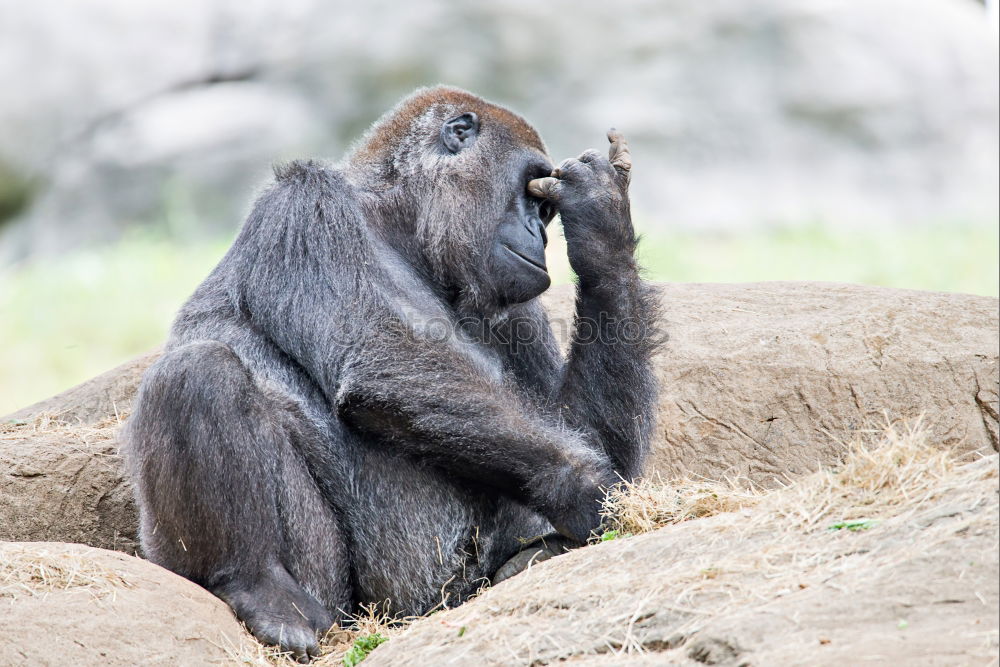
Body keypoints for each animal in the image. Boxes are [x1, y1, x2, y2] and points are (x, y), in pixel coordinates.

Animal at [123, 86, 656, 660]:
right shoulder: (306, 204)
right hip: (334, 603)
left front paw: (601, 231)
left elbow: (572, 425)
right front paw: (588, 490)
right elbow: (379, 356)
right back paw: (256, 584)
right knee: (197, 372)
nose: (540, 235)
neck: (399, 223)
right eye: (533, 198)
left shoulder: (513, 297)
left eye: (549, 210)